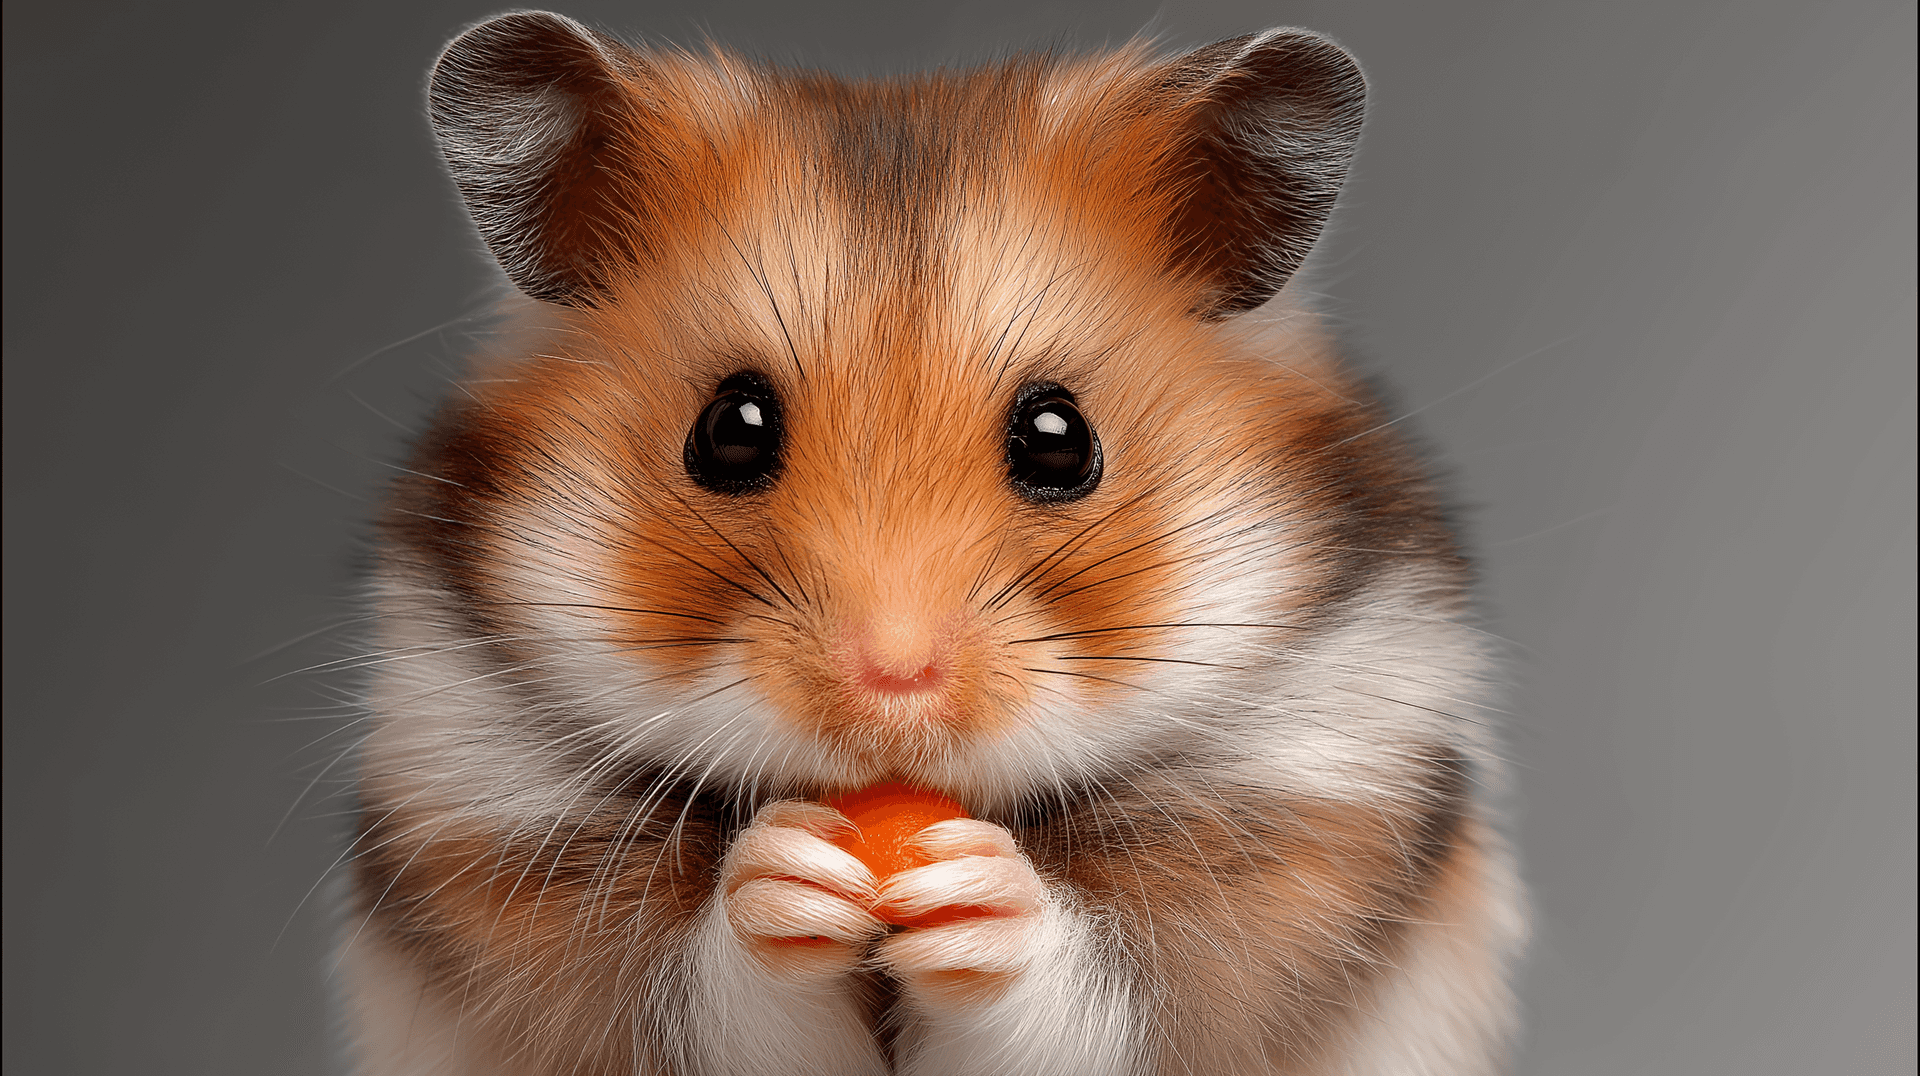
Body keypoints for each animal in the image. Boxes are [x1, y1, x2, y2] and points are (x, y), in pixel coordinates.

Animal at [337, 11, 1526, 1075]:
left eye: (1060, 439)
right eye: (730, 430)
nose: (892, 688)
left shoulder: (1288, 841)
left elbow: (1096, 997)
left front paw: (976, 889)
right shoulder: (501, 832)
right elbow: (712, 995)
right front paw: (786, 875)